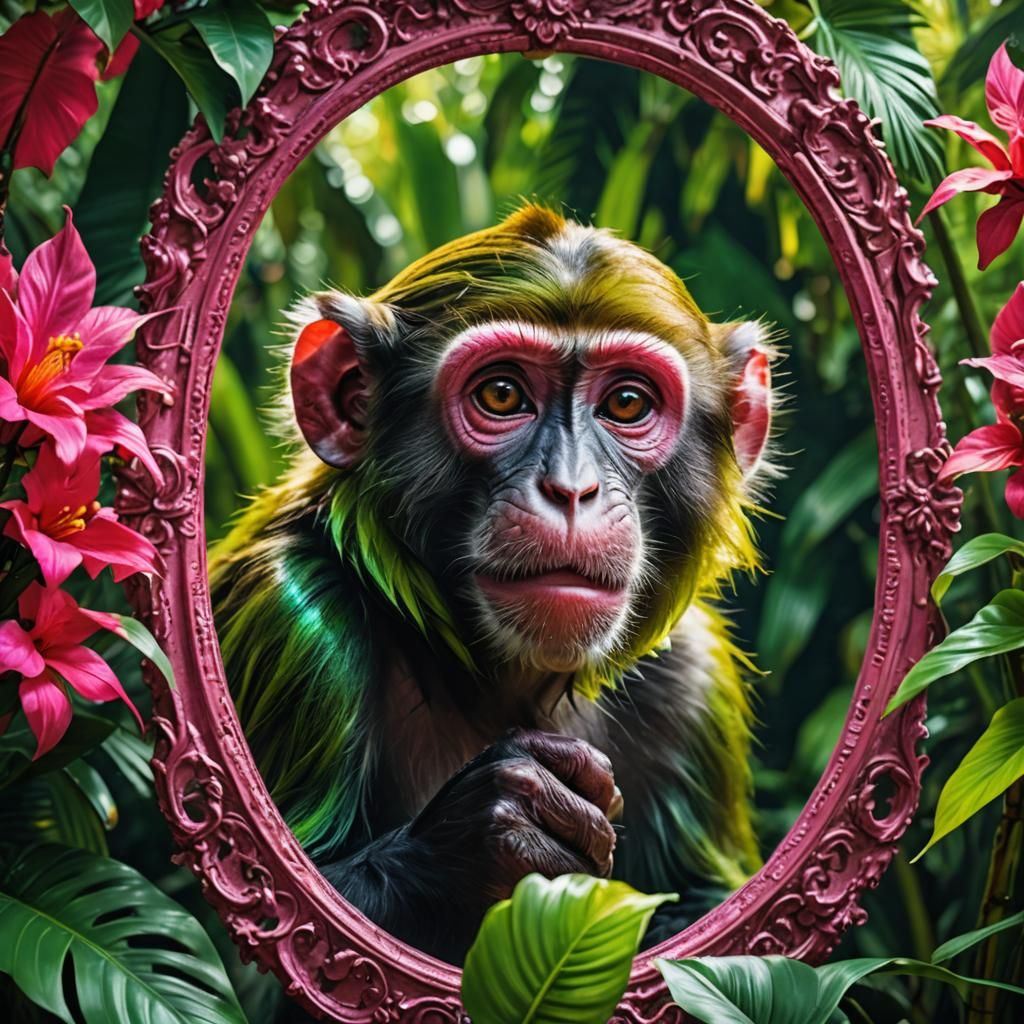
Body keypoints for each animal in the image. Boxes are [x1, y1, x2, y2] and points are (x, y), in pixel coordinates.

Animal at [209, 204, 777, 966]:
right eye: (501, 394)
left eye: (628, 403)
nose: (571, 488)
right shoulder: (292, 617)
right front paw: (494, 829)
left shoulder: (691, 675)